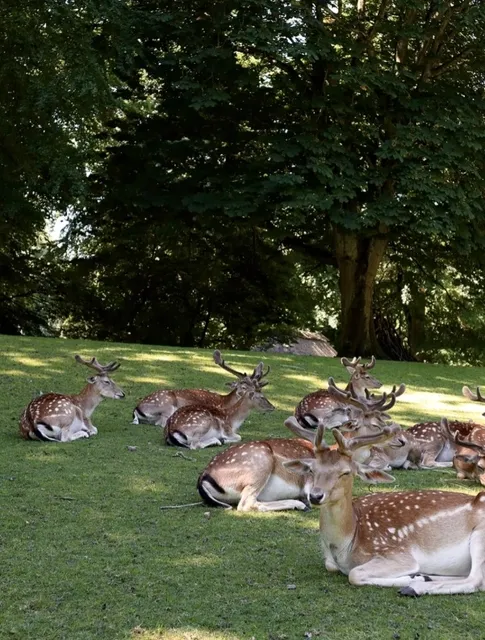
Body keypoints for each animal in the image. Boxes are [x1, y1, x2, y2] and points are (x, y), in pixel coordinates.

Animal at [132, 350, 270, 426]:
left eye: (258, 388)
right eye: (243, 386)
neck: (224, 403)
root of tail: (136, 409)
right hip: (167, 404)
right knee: (160, 423)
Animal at [284, 424, 485, 596]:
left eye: (346, 472)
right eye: (312, 469)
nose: (315, 496)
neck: (345, 544)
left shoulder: (397, 554)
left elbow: (354, 574)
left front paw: (409, 578)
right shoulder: (331, 560)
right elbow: (330, 566)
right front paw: (417, 576)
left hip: (480, 536)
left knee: (475, 580)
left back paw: (413, 586)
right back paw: (424, 577)